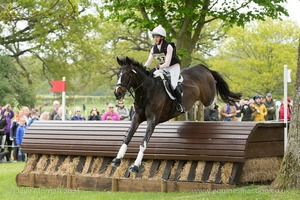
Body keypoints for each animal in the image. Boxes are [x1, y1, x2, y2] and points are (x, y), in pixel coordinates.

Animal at [112, 56, 241, 172]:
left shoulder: (152, 119)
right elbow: (127, 137)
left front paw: (135, 166)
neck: (146, 91)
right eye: (118, 74)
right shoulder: (137, 117)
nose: (117, 94)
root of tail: (203, 68)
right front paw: (117, 159)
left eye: (127, 75)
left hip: (207, 98)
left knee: (213, 105)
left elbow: (143, 142)